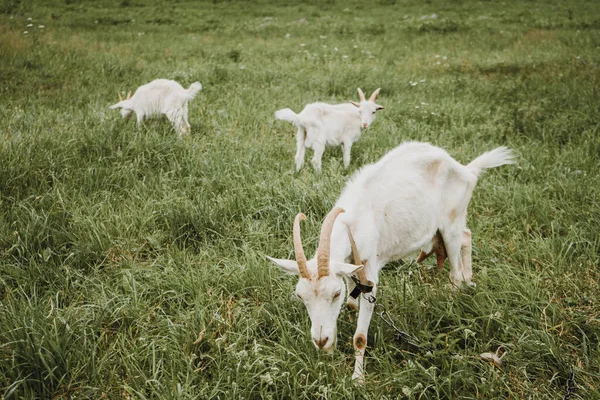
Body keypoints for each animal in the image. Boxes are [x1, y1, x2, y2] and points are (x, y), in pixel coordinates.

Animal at [268, 143, 516, 382]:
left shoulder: (370, 276)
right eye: (301, 296)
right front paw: (332, 344)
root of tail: (467, 170)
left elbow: (360, 336)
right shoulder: (351, 266)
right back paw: (469, 280)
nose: (320, 341)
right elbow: (351, 303)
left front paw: (358, 379)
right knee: (467, 236)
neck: (354, 222)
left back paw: (453, 299)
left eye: (334, 293)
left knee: (455, 265)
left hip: (451, 224)